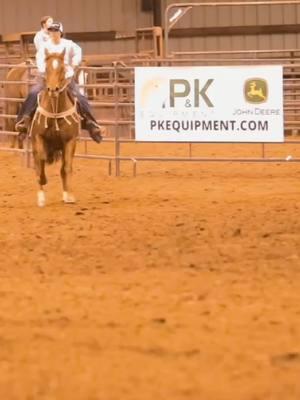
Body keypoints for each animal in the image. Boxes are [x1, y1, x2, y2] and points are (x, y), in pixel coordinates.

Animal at [30, 47, 81, 206]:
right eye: (46, 68)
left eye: (62, 68)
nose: (53, 89)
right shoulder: (38, 137)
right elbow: (41, 161)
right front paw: (43, 185)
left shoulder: (70, 141)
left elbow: (67, 168)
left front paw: (68, 195)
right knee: (37, 163)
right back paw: (41, 195)